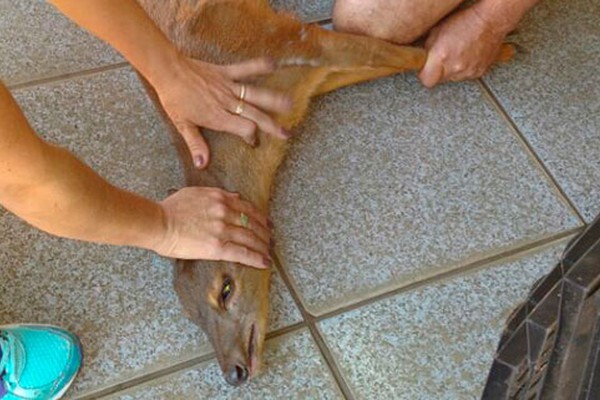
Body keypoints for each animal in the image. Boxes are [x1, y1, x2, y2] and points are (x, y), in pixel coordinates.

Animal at [134, 0, 512, 388]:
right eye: (191, 314)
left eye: (226, 288)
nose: (234, 372)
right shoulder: (305, 80)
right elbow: (387, 62)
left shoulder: (291, 40)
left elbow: (405, 56)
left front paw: (497, 51)